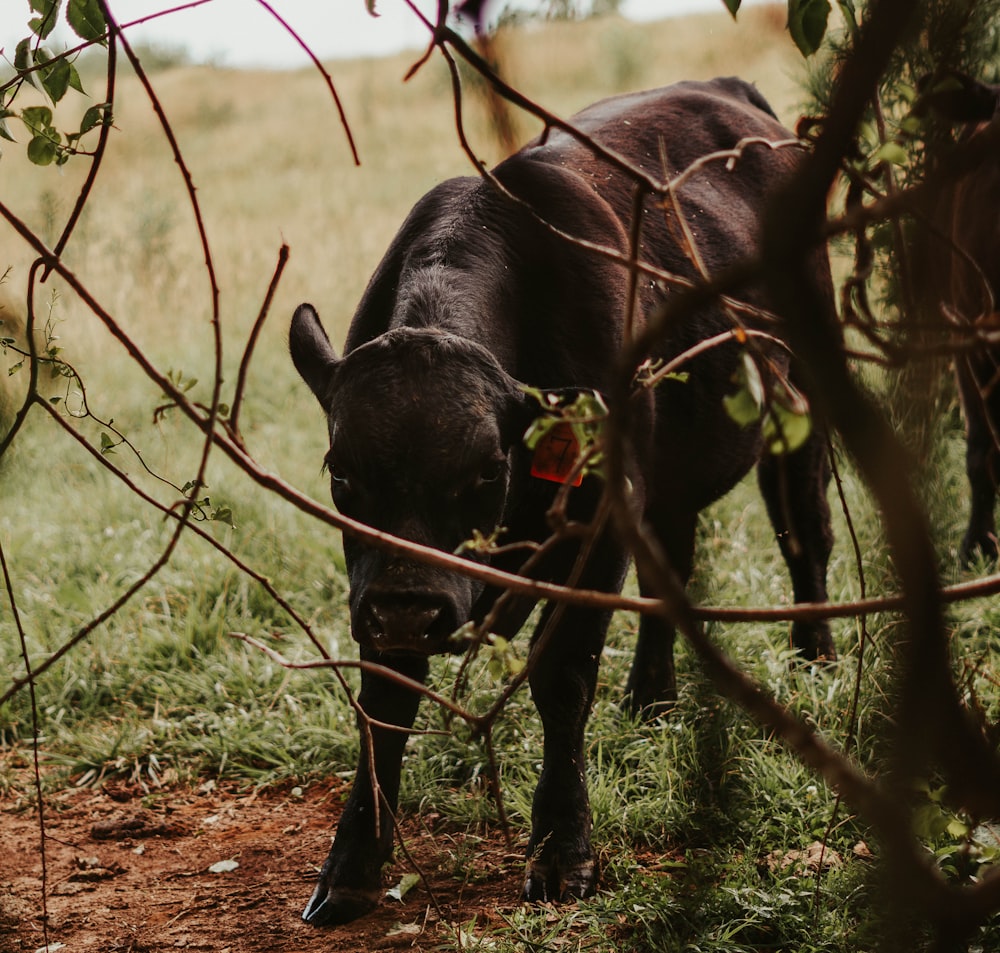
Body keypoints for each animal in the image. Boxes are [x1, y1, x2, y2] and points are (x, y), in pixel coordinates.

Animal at [290, 78, 836, 924]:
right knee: (674, 558)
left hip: (803, 395)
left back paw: (815, 658)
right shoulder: (379, 579)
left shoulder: (598, 520)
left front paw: (560, 851)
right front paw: (350, 863)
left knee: (802, 526)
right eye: (341, 473)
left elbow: (564, 675)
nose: (412, 610)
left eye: (488, 471)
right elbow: (384, 698)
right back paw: (650, 698)